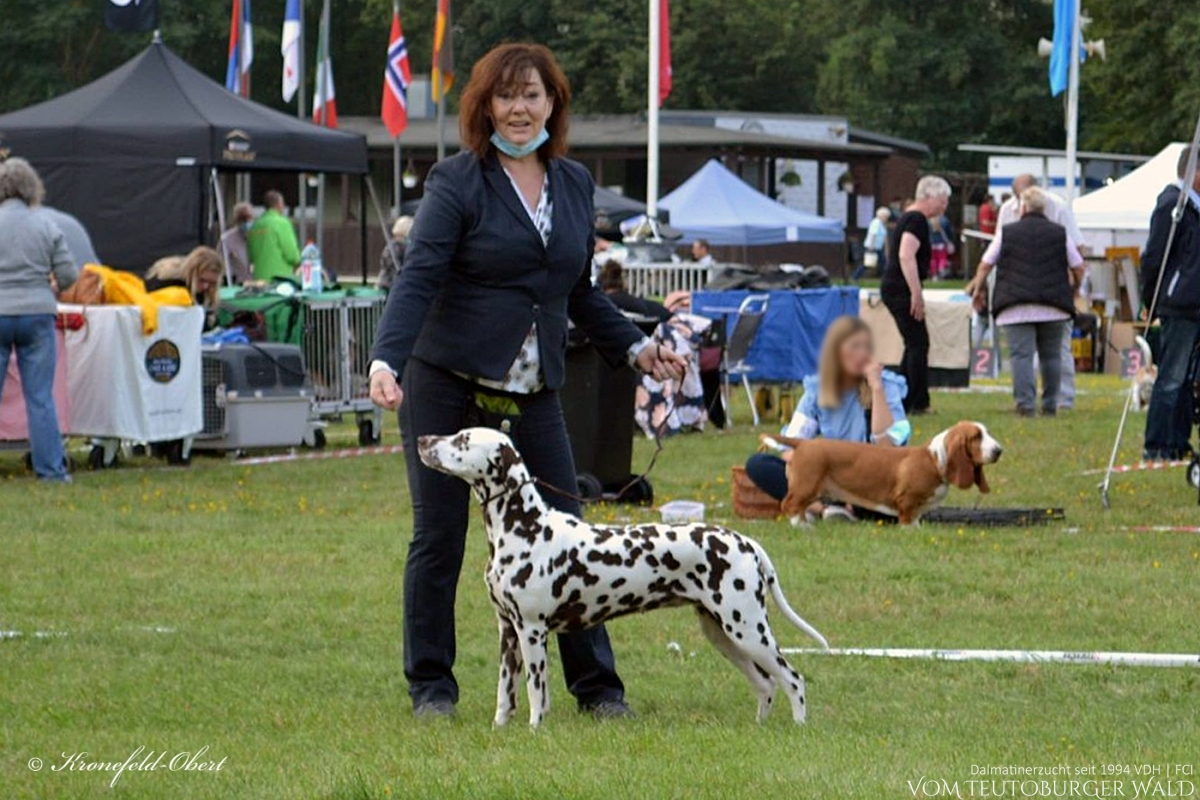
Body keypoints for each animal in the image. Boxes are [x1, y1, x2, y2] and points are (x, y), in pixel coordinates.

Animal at [417, 429, 830, 729]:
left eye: (462, 440)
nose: (422, 441)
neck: (526, 528)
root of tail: (746, 542)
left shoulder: (532, 631)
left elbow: (536, 693)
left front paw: (534, 730)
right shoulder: (507, 630)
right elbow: (506, 693)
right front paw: (500, 728)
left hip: (748, 630)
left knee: (793, 679)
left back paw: (799, 727)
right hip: (725, 636)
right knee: (766, 684)